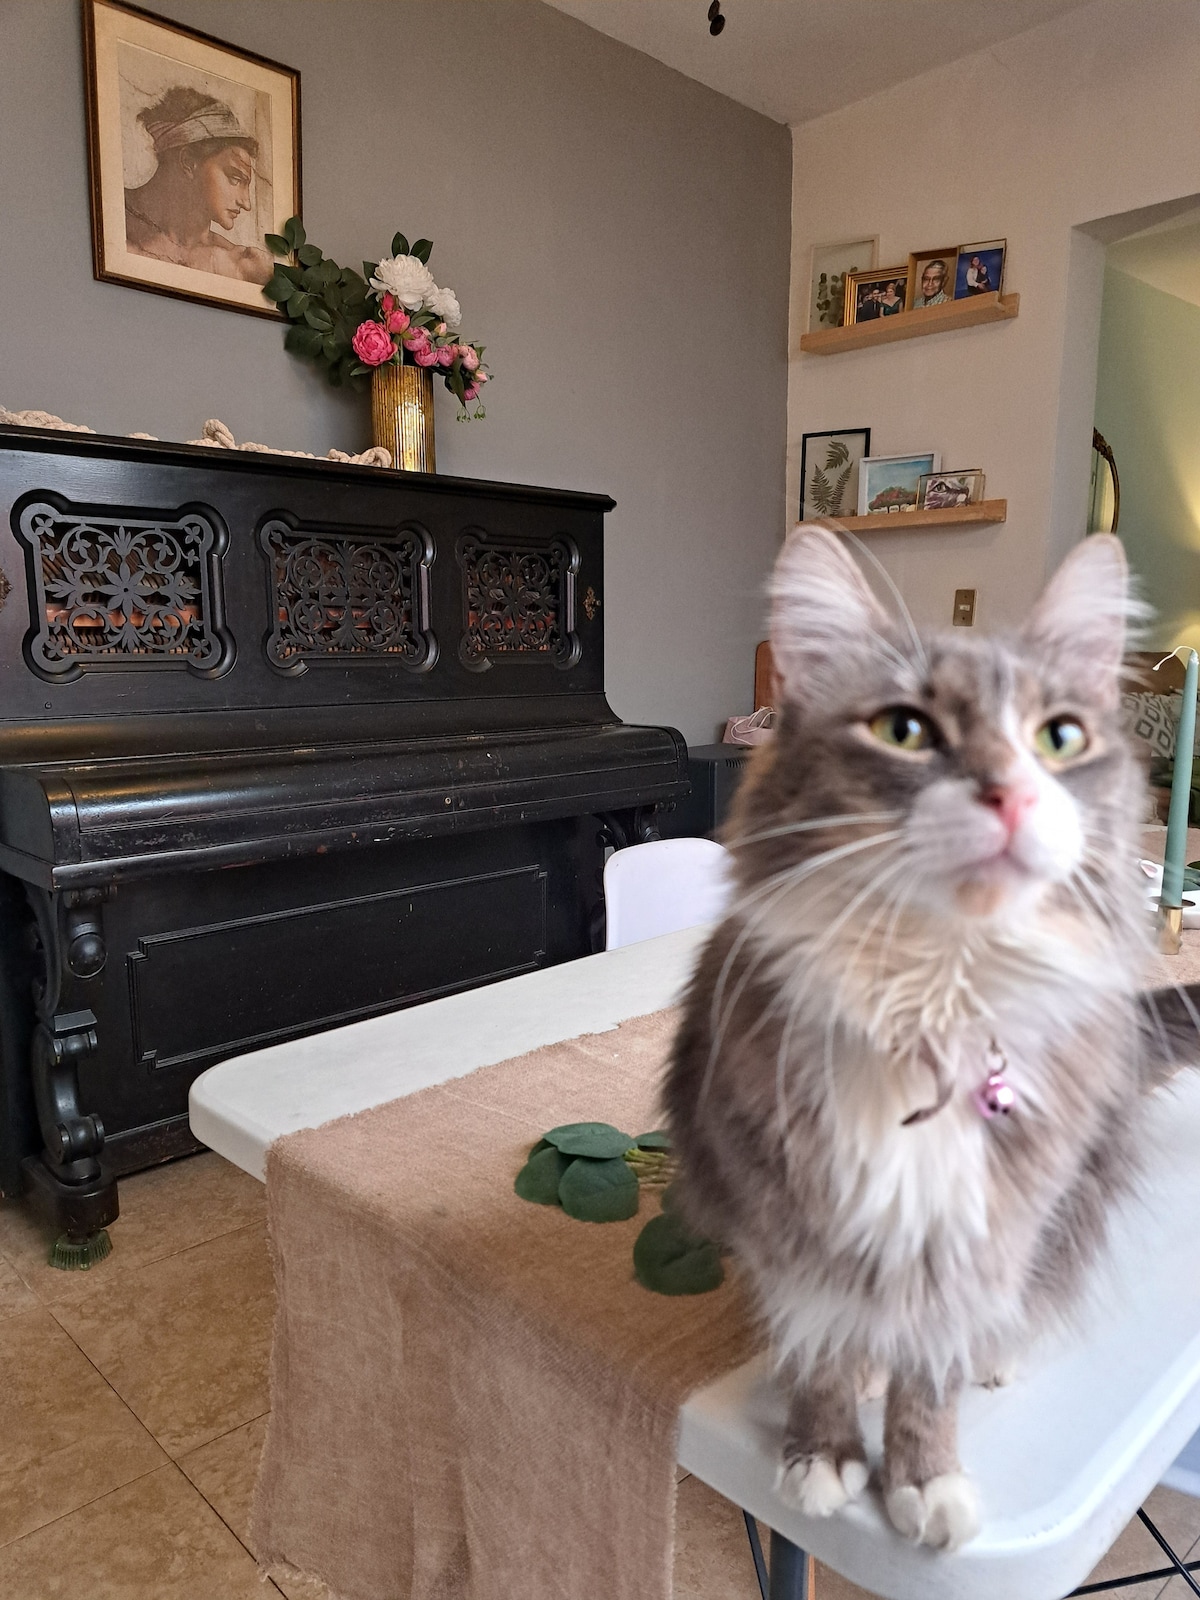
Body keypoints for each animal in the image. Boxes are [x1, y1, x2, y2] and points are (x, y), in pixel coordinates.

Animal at [664, 526, 1200, 1552]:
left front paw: (923, 1476)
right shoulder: (790, 1217)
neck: (932, 1000)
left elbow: (935, 1370)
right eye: (904, 731)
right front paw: (823, 1451)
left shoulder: (989, 1224)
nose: (1012, 798)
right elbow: (824, 1346)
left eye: (1059, 738)